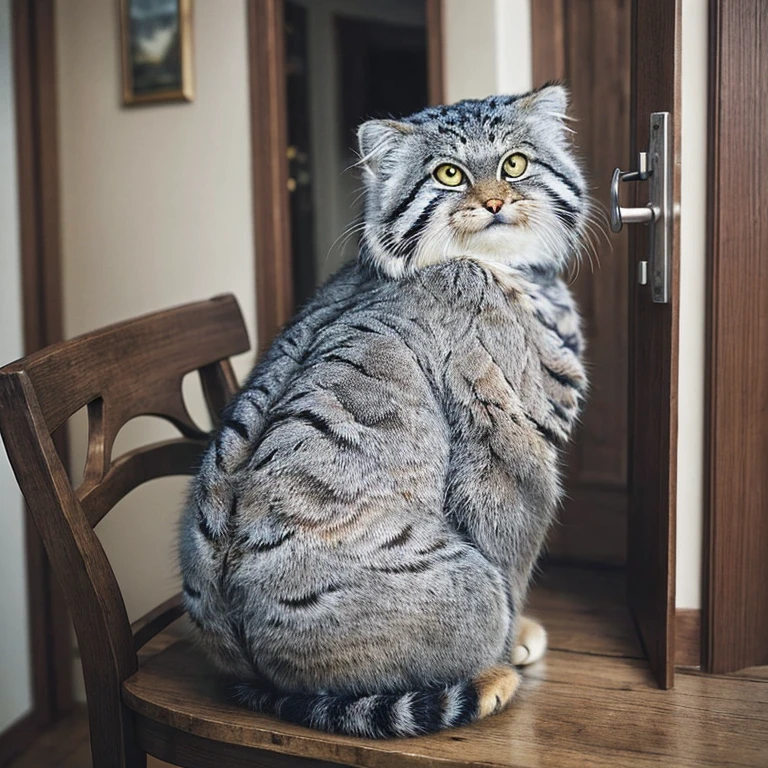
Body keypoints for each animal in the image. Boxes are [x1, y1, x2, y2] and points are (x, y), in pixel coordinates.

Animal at [178, 85, 588, 736]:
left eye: (515, 163)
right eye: (449, 174)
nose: (494, 201)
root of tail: (246, 668)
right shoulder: (511, 457)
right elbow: (516, 564)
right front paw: (518, 636)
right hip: (471, 588)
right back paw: (491, 676)